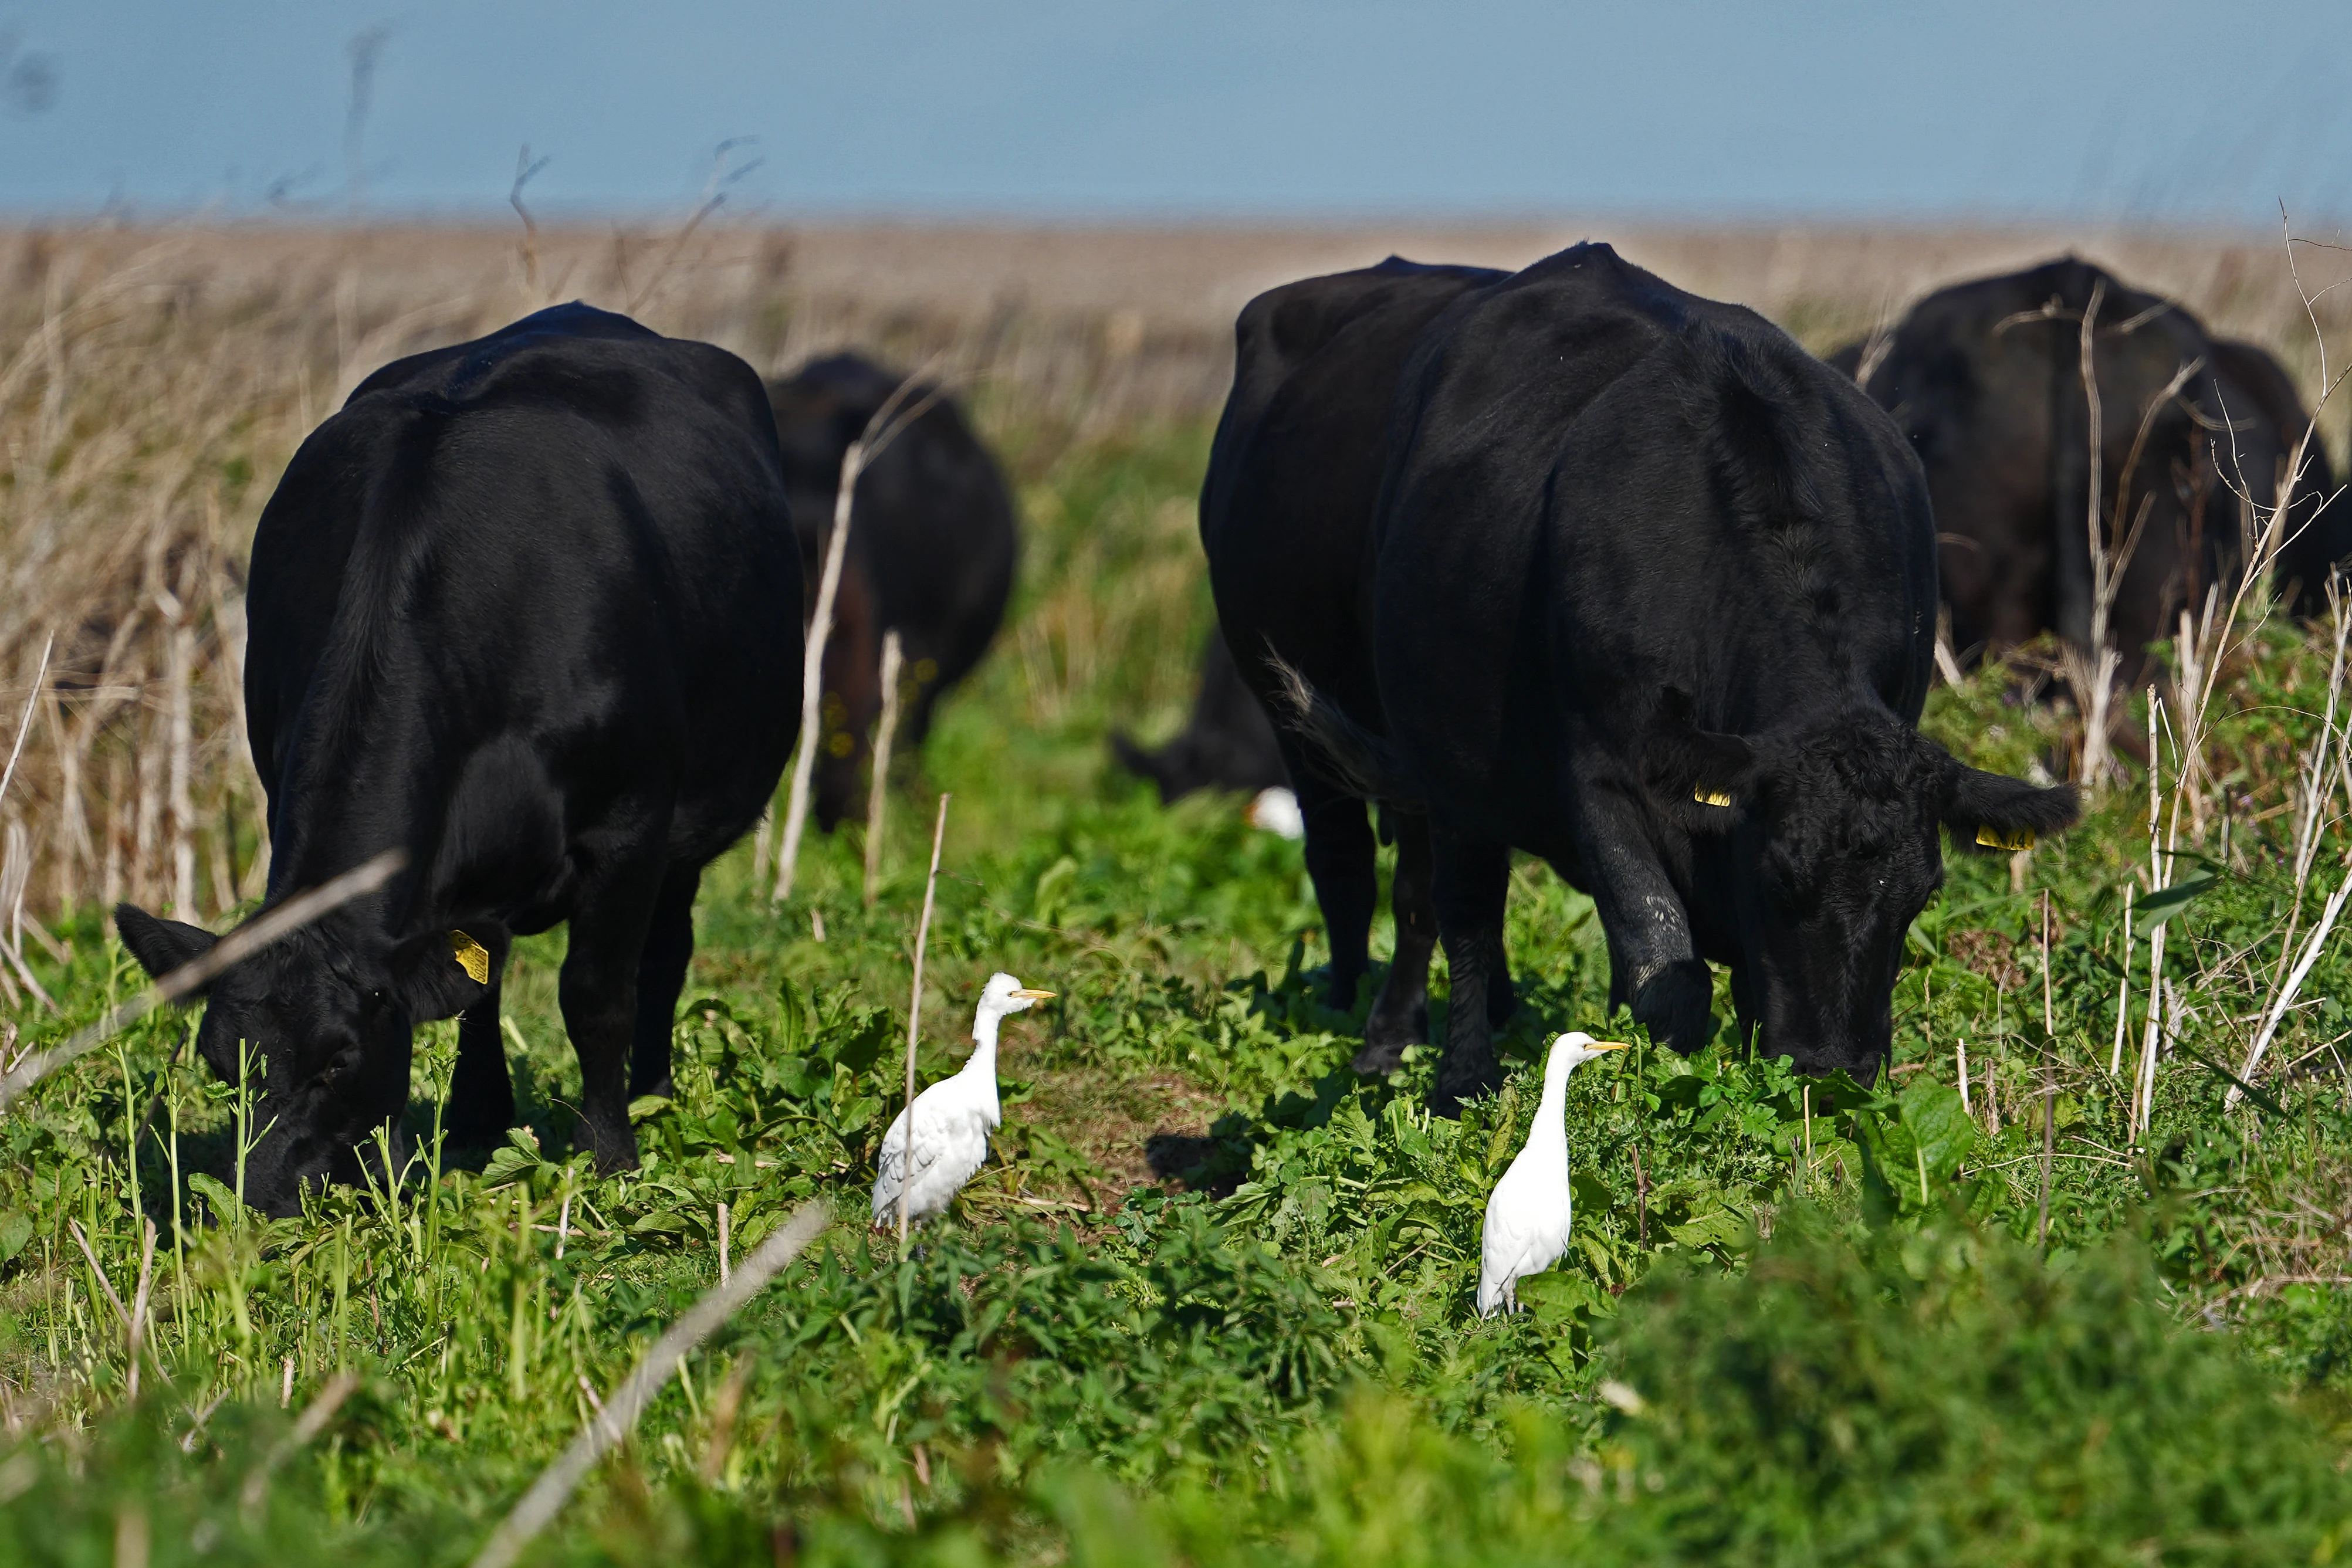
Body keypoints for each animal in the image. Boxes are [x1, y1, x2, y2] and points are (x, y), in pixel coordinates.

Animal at [113, 302, 803, 1215]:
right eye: (223, 1063)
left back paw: (652, 1092)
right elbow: (473, 987)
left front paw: (610, 1156)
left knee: (665, 951)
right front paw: (451, 1139)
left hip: (688, 826)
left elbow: (595, 995)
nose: (259, 1199)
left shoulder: (631, 823)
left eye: (338, 1061)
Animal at [1287, 242, 2077, 1112]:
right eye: (1780, 878)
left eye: (1923, 894)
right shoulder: (1600, 774)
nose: (1837, 1071)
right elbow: (1666, 973)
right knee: (1460, 911)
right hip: (1449, 771)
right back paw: (1463, 1081)